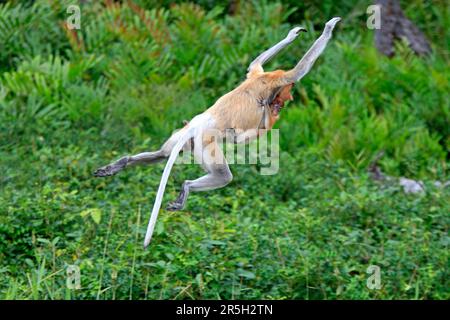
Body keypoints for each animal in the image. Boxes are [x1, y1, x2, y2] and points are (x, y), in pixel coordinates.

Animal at [94, 17, 342, 248]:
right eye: (286, 94)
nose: (282, 104)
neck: (266, 83)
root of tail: (196, 125)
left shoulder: (257, 74)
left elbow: (254, 62)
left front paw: (292, 35)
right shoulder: (277, 78)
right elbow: (299, 70)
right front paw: (328, 28)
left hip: (182, 137)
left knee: (163, 154)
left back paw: (118, 165)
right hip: (206, 144)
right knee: (223, 175)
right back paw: (185, 189)